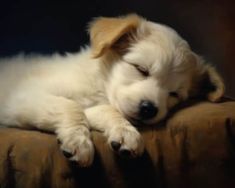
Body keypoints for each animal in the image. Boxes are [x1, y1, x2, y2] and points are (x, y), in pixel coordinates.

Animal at [0, 14, 224, 166]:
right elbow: (70, 105)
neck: (98, 85)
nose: (149, 109)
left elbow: (105, 110)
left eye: (174, 94)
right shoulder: (20, 98)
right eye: (141, 69)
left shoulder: (97, 106)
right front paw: (78, 140)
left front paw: (124, 132)